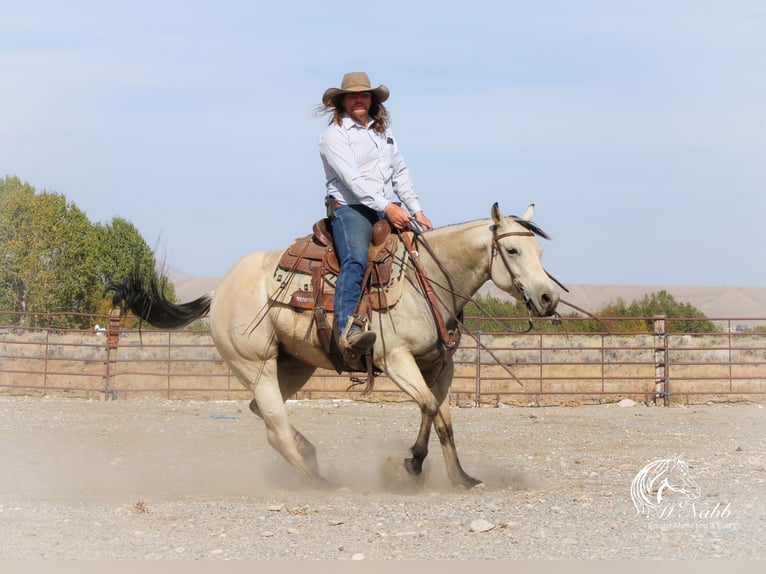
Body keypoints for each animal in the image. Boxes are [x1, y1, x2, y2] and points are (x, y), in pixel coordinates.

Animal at [111, 202, 560, 490]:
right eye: (513, 249)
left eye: (540, 250)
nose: (547, 298)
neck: (429, 280)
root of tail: (218, 291)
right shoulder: (396, 360)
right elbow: (429, 407)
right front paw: (410, 465)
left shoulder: (440, 367)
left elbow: (445, 421)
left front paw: (461, 479)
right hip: (256, 366)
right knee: (275, 425)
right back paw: (320, 480)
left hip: (293, 366)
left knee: (265, 417)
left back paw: (310, 455)